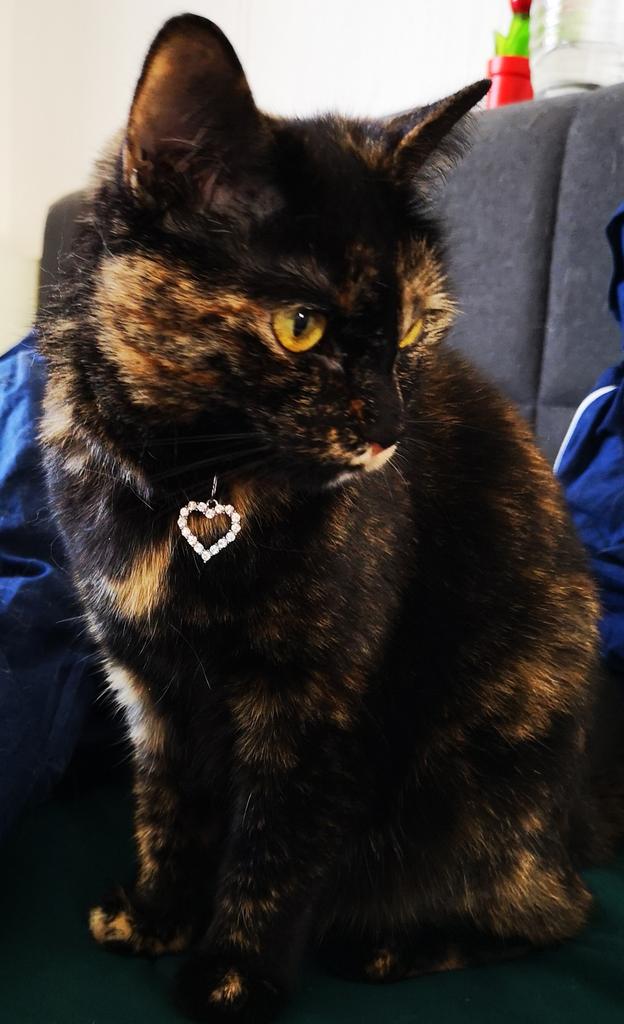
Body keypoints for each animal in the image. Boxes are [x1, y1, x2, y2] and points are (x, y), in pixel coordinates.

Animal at [38, 13, 624, 1024]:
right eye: (301, 327)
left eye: (416, 330)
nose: (390, 430)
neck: (191, 485)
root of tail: (577, 817)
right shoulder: (147, 681)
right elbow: (167, 806)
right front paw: (156, 915)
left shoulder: (314, 696)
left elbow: (274, 842)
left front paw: (232, 978)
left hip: (477, 794)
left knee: (556, 912)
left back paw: (393, 944)